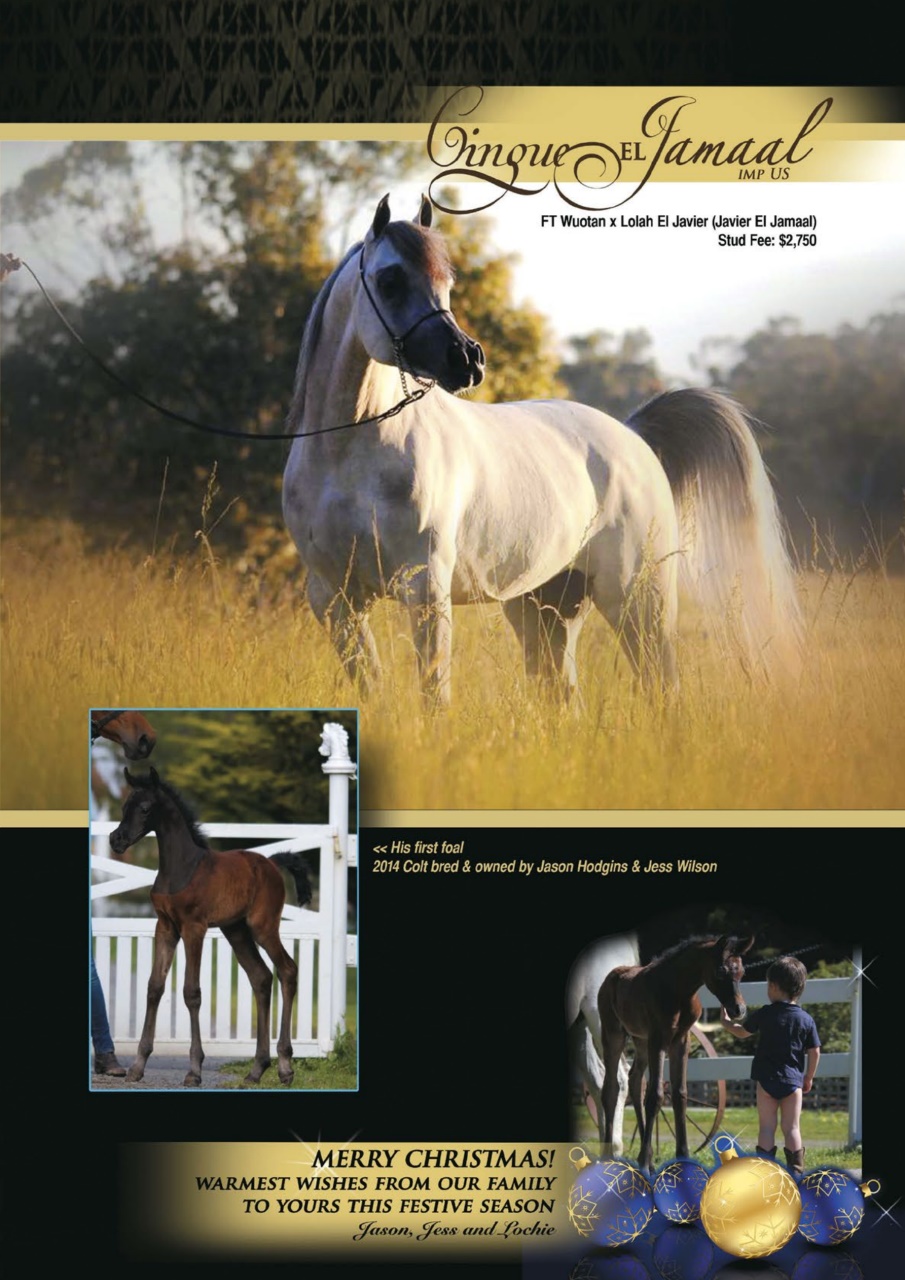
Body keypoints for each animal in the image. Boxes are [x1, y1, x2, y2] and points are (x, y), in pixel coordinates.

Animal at [108, 766, 312, 1087]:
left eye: (145, 808)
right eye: (124, 807)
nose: (116, 840)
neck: (180, 867)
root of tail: (271, 863)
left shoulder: (194, 928)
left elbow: (191, 992)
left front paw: (194, 1070)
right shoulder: (165, 927)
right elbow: (154, 987)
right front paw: (138, 1067)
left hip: (263, 927)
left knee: (288, 970)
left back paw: (284, 1066)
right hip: (236, 931)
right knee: (261, 977)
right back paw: (257, 1069)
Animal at [282, 193, 802, 705]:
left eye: (446, 282)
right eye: (390, 280)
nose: (467, 360)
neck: (349, 459)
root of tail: (633, 437)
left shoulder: (426, 592)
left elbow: (435, 698)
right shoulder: (334, 600)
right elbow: (371, 693)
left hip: (637, 601)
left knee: (661, 689)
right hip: (545, 606)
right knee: (564, 694)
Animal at [597, 934, 754, 1171]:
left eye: (742, 972)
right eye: (721, 970)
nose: (738, 1010)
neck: (678, 990)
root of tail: (610, 977)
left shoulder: (681, 1040)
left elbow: (680, 1094)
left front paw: (683, 1158)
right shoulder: (659, 1040)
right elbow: (655, 1096)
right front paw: (644, 1164)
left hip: (641, 1040)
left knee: (635, 1081)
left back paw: (647, 1157)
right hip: (614, 1035)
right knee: (611, 1089)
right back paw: (610, 1157)